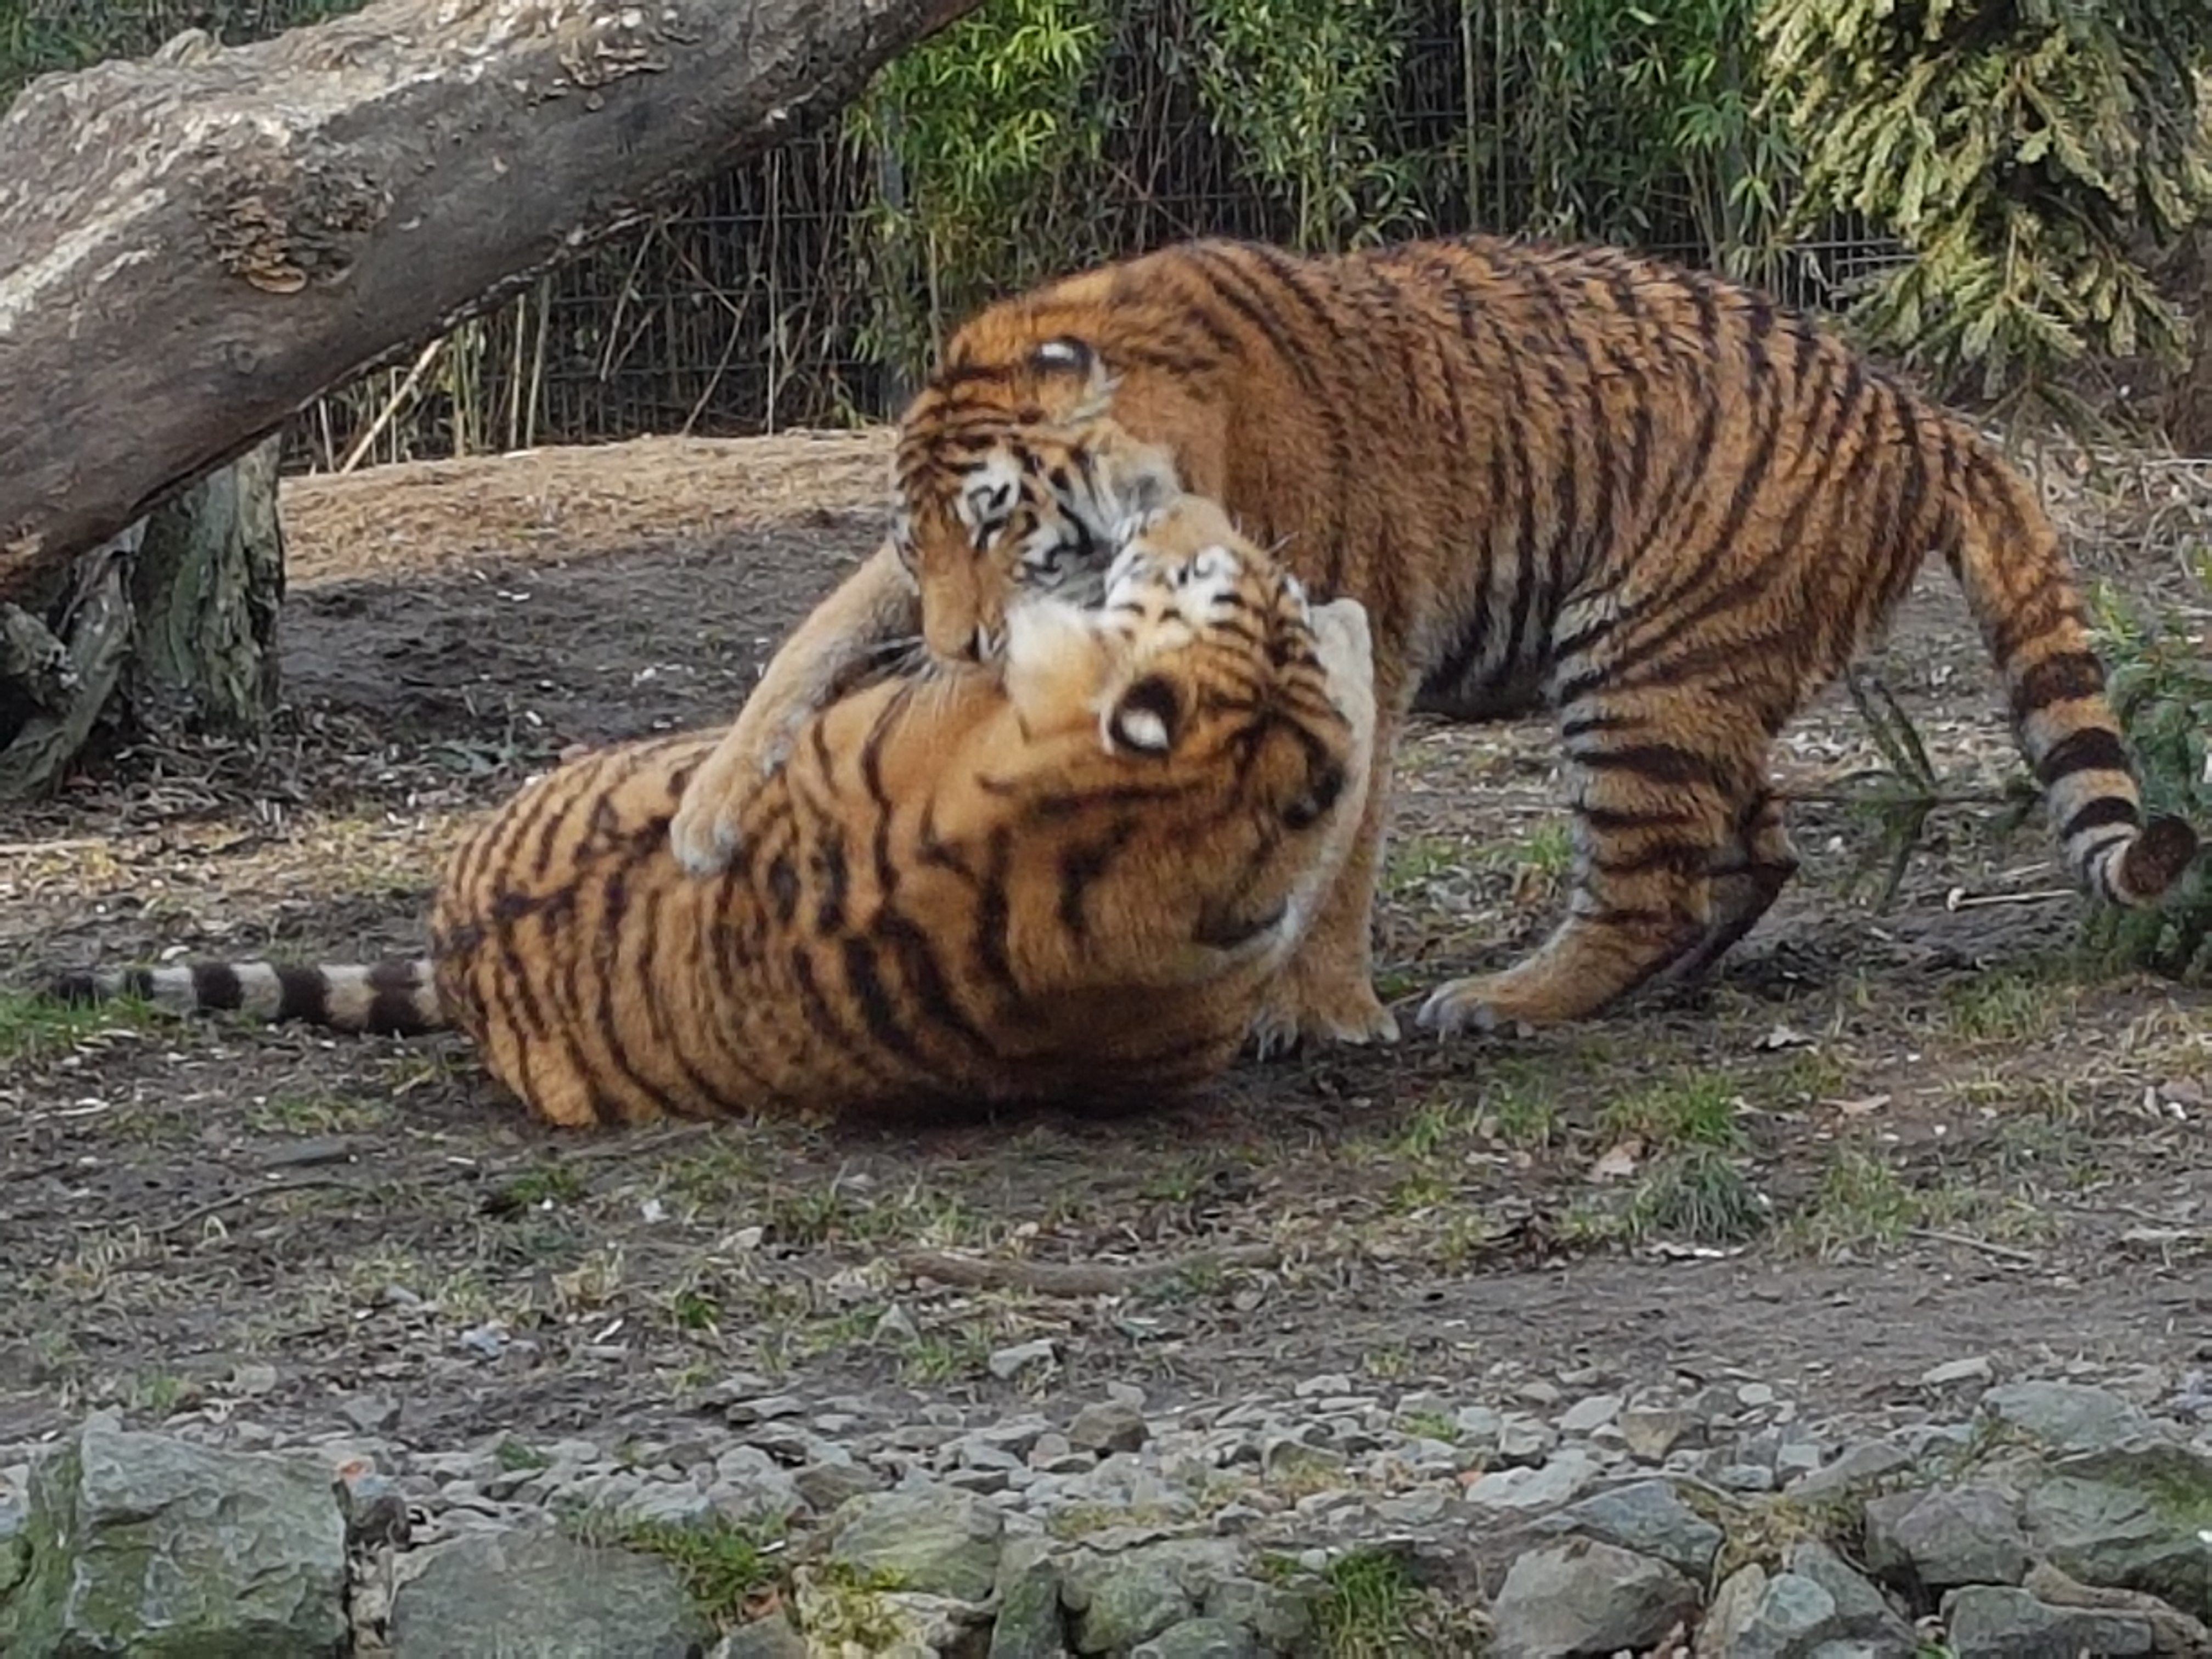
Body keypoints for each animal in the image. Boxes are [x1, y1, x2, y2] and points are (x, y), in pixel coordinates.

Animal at [667, 231, 2199, 1047]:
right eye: (923, 534)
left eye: (996, 517)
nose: (971, 652)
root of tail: (1922, 416)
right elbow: (811, 638)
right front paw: (707, 814)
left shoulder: (1357, 632)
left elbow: (1343, 838)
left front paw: (1322, 1008)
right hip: (1695, 673)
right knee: (1749, 852)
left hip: (1638, 669)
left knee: (1648, 882)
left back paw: (1504, 999)